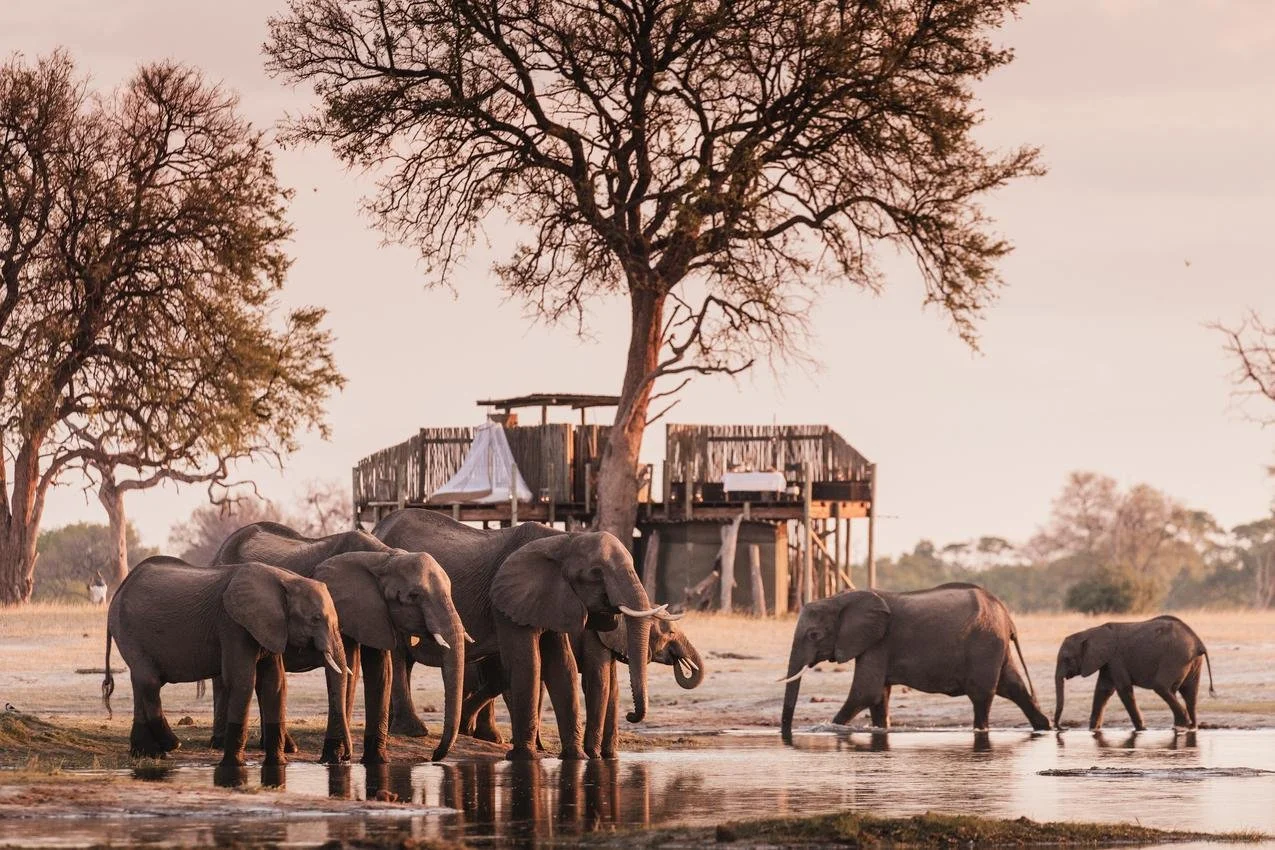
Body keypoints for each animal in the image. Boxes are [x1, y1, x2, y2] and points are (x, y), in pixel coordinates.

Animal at [103, 556, 346, 766]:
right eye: (315, 619)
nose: (338, 759)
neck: (285, 579)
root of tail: (118, 591)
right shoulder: (232, 624)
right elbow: (242, 681)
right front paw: (234, 766)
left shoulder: (270, 627)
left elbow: (274, 684)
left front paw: (278, 765)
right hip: (128, 630)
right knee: (150, 682)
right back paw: (171, 745)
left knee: (140, 683)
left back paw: (148, 754)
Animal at [210, 521, 467, 763]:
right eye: (413, 596)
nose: (434, 756)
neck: (384, 558)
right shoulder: (339, 607)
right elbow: (348, 666)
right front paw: (334, 758)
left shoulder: (375, 612)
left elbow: (380, 670)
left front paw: (376, 760)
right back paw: (220, 743)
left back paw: (284, 747)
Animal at [373, 508, 677, 760]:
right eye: (596, 573)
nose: (632, 714)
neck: (563, 540)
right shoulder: (506, 600)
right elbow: (527, 662)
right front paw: (524, 758)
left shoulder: (550, 598)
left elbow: (561, 665)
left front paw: (574, 757)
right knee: (398, 656)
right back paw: (413, 731)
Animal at [779, 583, 1052, 735]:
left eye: (814, 635)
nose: (786, 735)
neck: (838, 598)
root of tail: (1006, 615)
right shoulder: (876, 644)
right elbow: (879, 697)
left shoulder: (880, 642)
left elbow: (865, 693)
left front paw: (831, 729)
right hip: (995, 646)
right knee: (1014, 688)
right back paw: (1045, 727)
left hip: (985, 645)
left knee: (982, 695)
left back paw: (983, 730)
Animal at [1053, 614, 1215, 731]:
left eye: (1067, 659)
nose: (1062, 728)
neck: (1090, 632)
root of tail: (1198, 642)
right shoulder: (1108, 661)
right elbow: (1103, 690)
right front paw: (1093, 730)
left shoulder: (1116, 658)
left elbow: (1123, 689)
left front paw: (1141, 729)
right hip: (1192, 661)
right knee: (1189, 692)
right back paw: (1191, 727)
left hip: (1176, 657)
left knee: (1163, 687)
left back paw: (1180, 726)